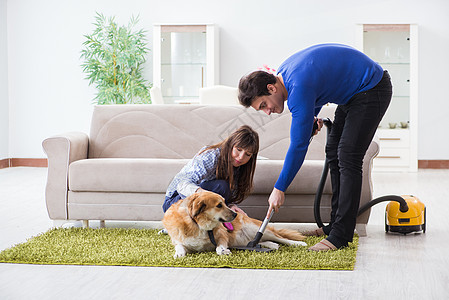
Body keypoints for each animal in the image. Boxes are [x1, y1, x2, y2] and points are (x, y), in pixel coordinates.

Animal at [163, 190, 306, 258]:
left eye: (225, 202)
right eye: (219, 205)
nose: (235, 214)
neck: (197, 224)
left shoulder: (223, 236)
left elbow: (219, 248)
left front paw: (223, 250)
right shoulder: (180, 240)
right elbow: (179, 246)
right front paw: (179, 253)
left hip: (255, 228)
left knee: (279, 237)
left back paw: (297, 243)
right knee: (257, 242)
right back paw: (270, 245)